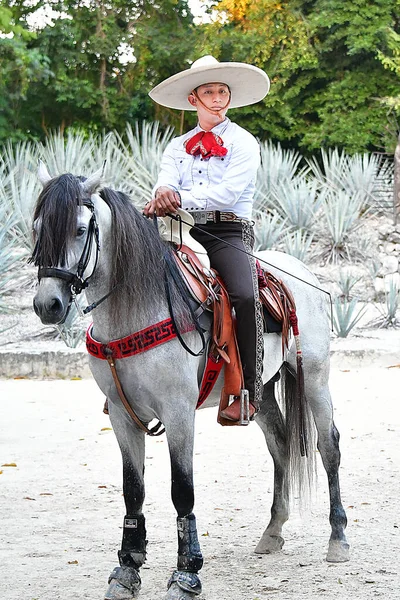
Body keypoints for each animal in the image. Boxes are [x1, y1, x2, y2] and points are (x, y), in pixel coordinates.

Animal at [32, 165, 350, 600]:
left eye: (80, 229)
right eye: (37, 228)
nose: (48, 305)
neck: (137, 309)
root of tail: (299, 273)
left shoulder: (179, 412)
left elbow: (182, 490)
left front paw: (186, 575)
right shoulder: (121, 416)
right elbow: (133, 490)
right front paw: (126, 570)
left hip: (314, 377)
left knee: (327, 446)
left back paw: (338, 539)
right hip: (260, 392)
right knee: (280, 444)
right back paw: (272, 531)